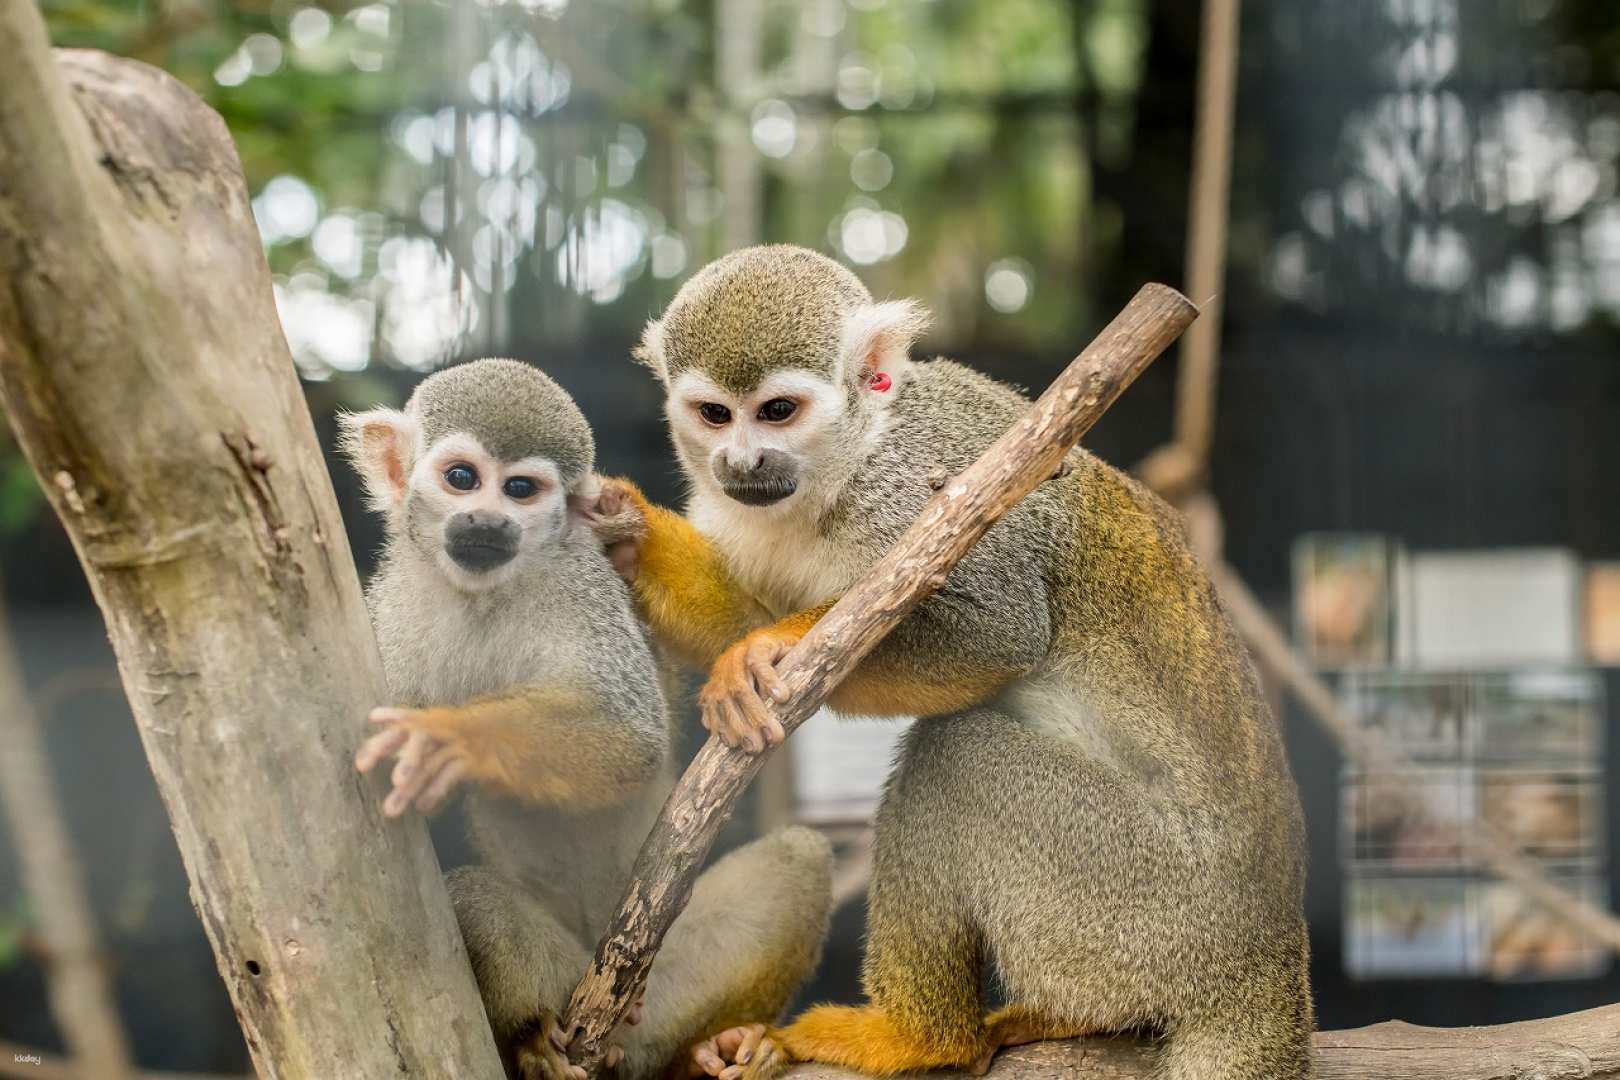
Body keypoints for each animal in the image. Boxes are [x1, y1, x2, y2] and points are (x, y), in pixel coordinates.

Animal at [335, 361, 829, 1080]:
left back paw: (710, 1051)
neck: (483, 593)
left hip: (661, 990)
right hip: (567, 974)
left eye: (520, 490)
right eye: (462, 479)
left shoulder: (577, 579)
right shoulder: (392, 613)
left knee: (797, 859)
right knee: (473, 899)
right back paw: (532, 1040)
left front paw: (450, 740)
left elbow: (629, 733)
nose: (487, 522)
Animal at [586, 249, 1315, 1080]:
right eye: (715, 415)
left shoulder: (916, 485)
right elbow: (745, 605)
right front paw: (632, 535)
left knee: (955, 756)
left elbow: (996, 634)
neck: (854, 457)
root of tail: (1269, 955)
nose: (742, 461)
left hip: (1153, 907)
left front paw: (766, 650)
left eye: (777, 411)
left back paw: (920, 1036)